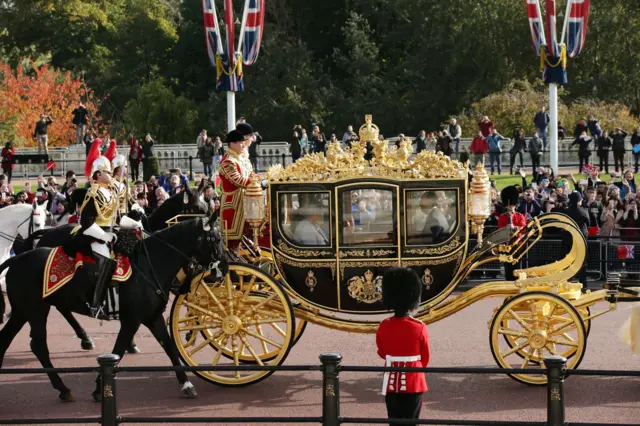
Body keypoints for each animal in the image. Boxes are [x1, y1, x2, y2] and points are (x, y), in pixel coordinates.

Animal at [0, 216, 228, 402]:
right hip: (36, 310)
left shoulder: (153, 318)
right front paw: (100, 389)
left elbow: (170, 347)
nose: (225, 267)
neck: (148, 265)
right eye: (216, 239)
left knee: (6, 339)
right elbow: (118, 350)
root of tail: (16, 258)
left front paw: (186, 384)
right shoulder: (132, 320)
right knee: (39, 345)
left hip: (23, 311)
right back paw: (64, 387)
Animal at [7, 187, 209, 352]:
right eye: (197, 208)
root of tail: (46, 233)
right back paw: (86, 338)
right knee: (63, 308)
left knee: (62, 306)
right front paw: (192, 331)